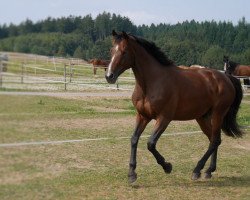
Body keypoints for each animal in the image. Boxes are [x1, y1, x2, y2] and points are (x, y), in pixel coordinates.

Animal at [106, 30, 243, 183]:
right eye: (112, 50)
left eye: (124, 51)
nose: (109, 76)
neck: (153, 82)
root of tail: (226, 78)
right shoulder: (142, 116)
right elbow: (134, 139)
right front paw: (131, 174)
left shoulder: (164, 118)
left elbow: (151, 143)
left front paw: (167, 167)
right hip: (202, 117)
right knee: (215, 139)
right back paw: (208, 171)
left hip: (218, 114)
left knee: (214, 141)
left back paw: (197, 170)